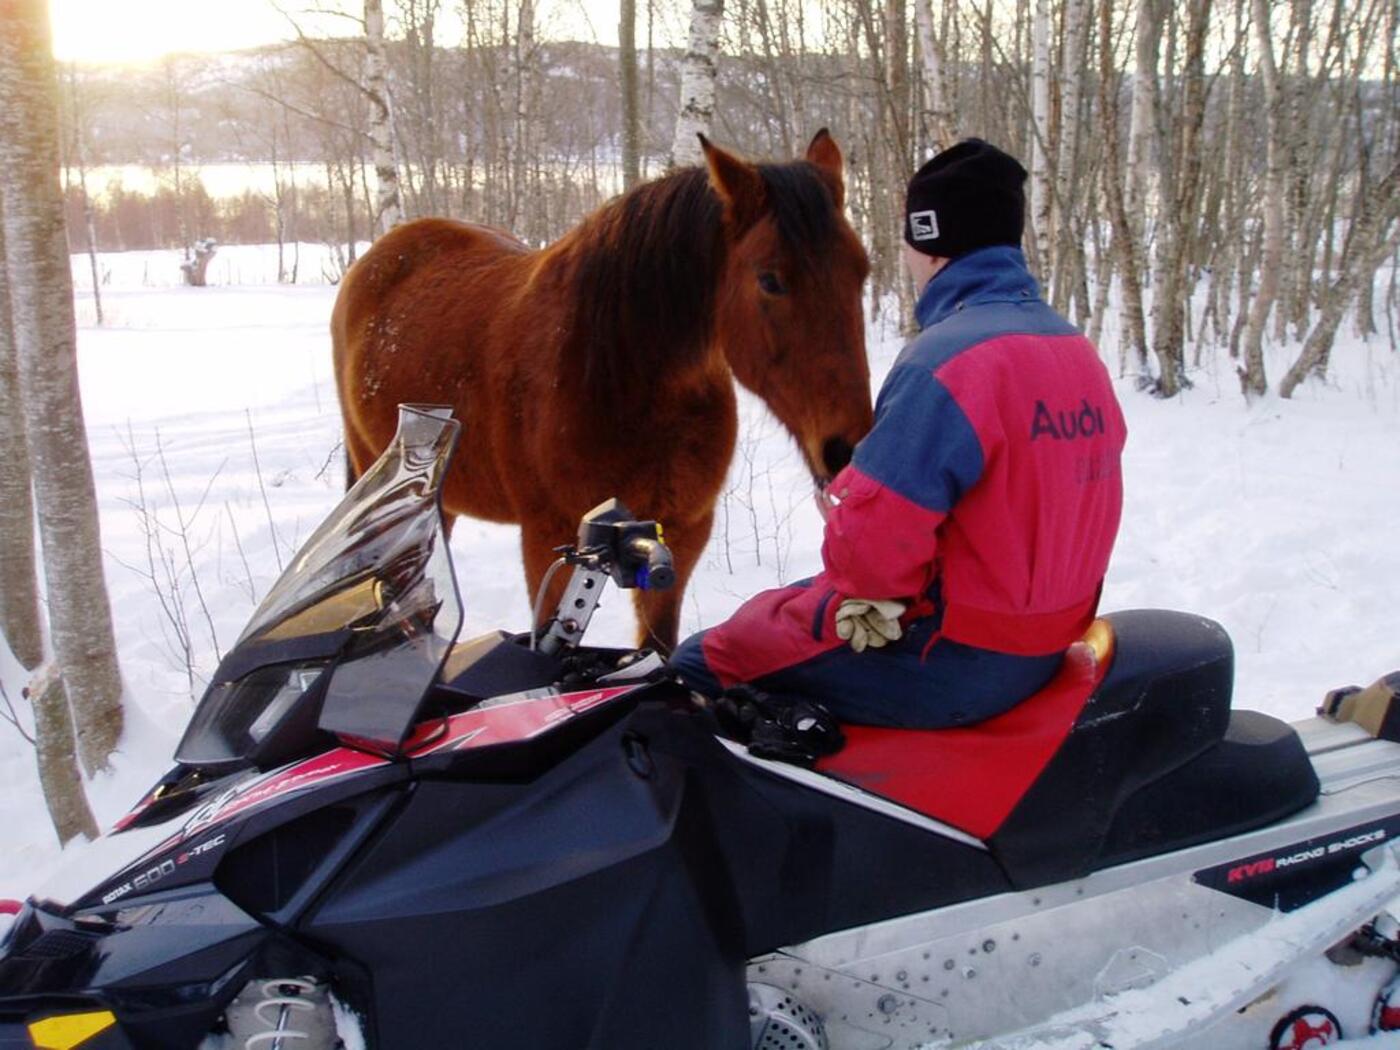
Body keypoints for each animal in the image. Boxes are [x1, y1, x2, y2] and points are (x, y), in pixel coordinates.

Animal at [331, 130, 873, 651]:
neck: (619, 383)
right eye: (770, 280)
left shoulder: (681, 534)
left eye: (861, 271)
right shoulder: (549, 542)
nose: (846, 448)